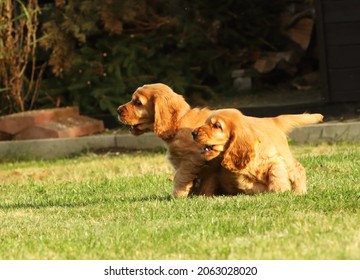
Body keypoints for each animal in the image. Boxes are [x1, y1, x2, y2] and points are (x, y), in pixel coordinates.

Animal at [193, 108, 324, 196]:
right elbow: (252, 185)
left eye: (217, 126)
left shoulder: (275, 159)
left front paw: (279, 189)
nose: (193, 133)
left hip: (285, 155)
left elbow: (276, 172)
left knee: (297, 169)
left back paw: (300, 192)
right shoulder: (239, 177)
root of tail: (273, 120)